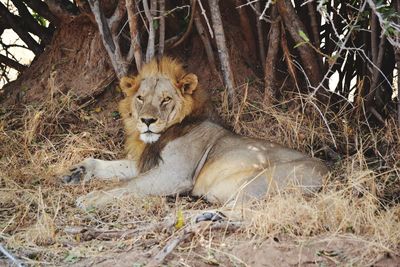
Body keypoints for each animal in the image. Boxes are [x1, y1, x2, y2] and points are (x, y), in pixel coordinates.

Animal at [63, 57, 328, 213]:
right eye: (140, 98)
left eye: (165, 100)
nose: (147, 121)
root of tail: (330, 173)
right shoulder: (148, 163)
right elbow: (106, 166)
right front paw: (76, 172)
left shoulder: (174, 174)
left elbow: (127, 185)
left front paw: (92, 198)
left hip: (262, 180)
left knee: (244, 211)